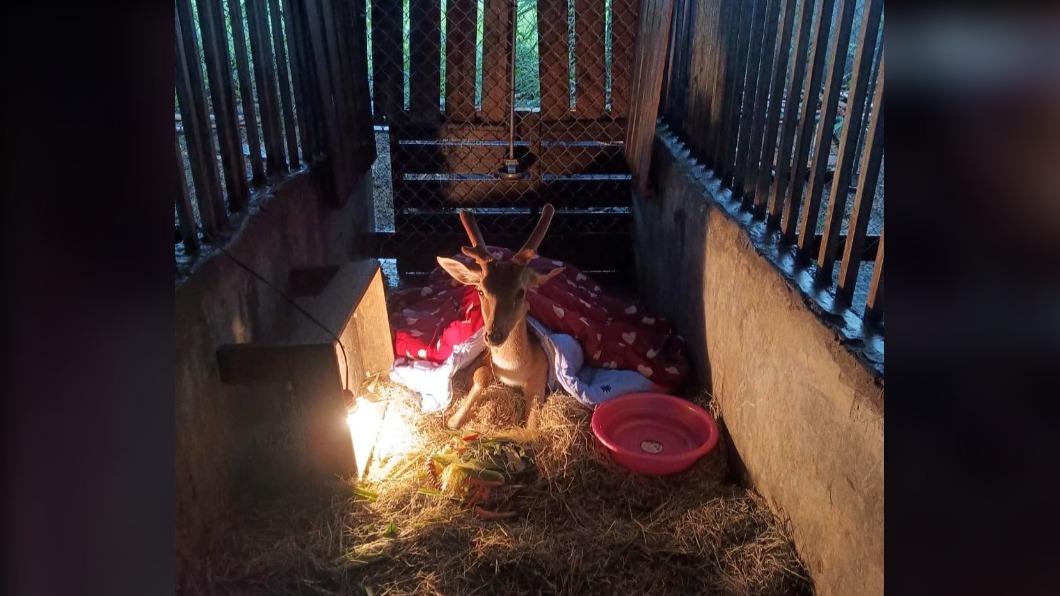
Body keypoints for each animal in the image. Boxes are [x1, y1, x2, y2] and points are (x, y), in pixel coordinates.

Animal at [435, 204, 565, 431]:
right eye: (480, 290)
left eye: (521, 292)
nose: (494, 336)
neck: (514, 372)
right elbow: (482, 375)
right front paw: (454, 420)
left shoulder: (541, 377)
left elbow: (531, 429)